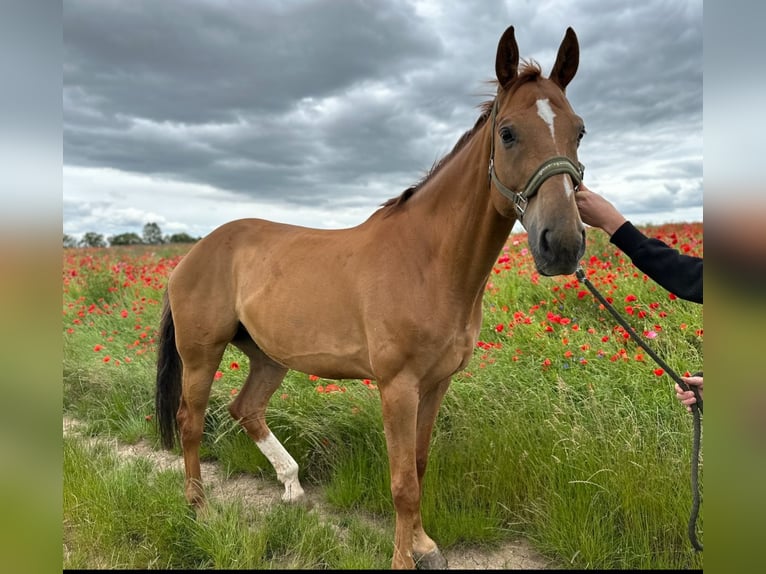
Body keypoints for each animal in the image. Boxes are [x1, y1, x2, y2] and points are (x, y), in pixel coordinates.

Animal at [156, 25, 588, 572]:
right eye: (508, 132)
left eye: (579, 130)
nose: (563, 243)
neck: (428, 263)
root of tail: (193, 253)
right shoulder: (397, 387)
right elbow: (403, 482)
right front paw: (405, 557)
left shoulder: (436, 383)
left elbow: (419, 466)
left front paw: (424, 546)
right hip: (201, 354)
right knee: (190, 422)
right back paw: (198, 507)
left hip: (269, 357)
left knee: (244, 409)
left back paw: (292, 487)